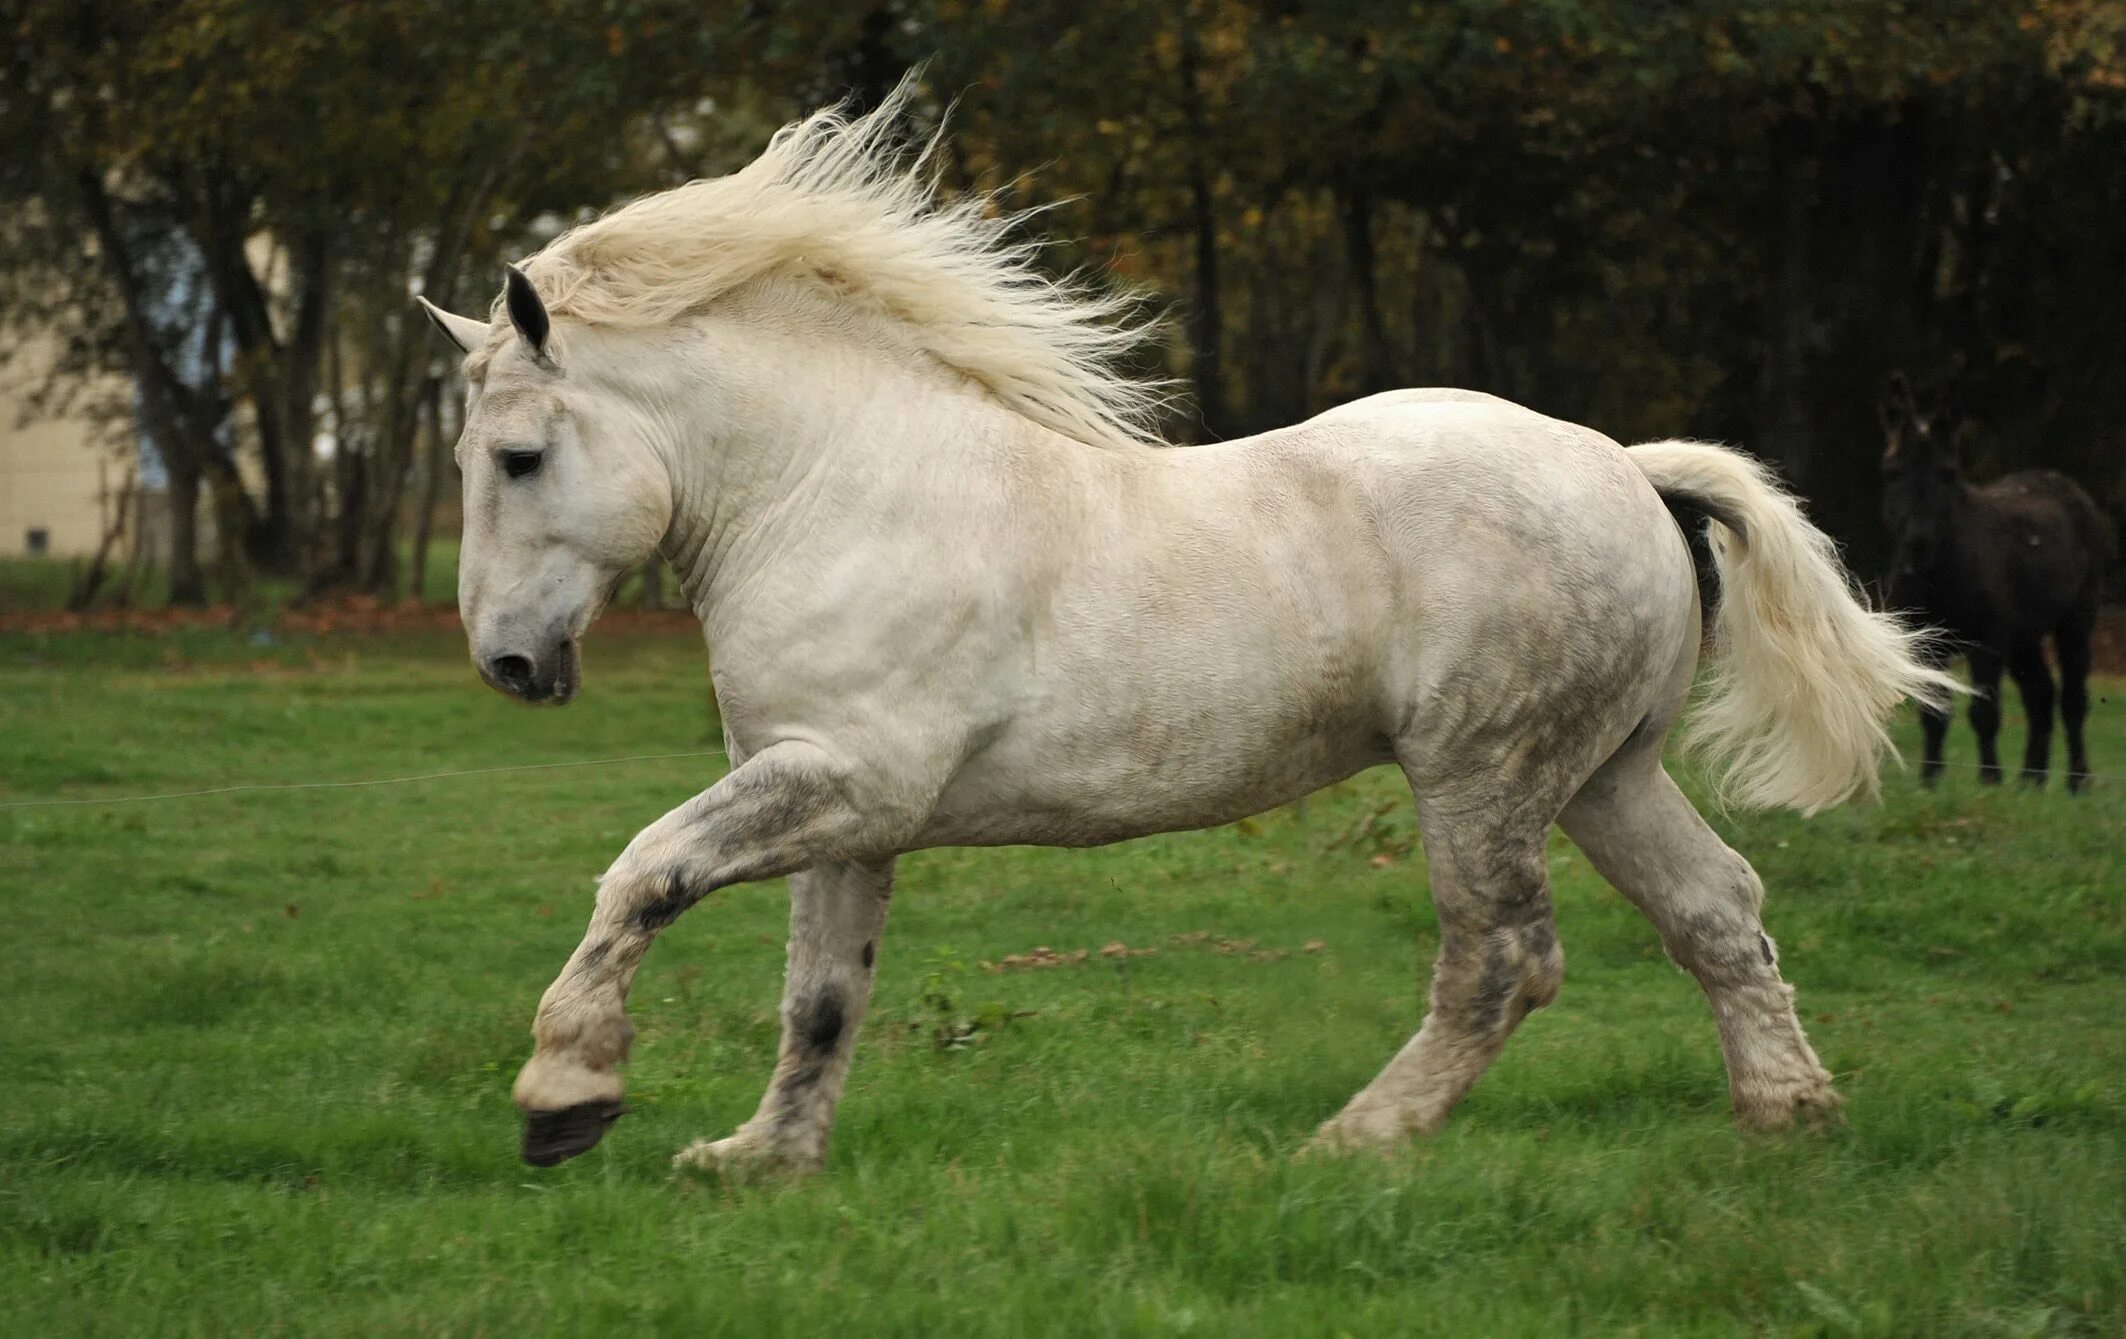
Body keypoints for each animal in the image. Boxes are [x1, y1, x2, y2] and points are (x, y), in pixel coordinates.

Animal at [418, 86, 1955, 1173]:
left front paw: (565, 1096)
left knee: (1502, 961)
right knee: (1717, 913)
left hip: (1483, 778)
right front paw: (757, 1159)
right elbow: (820, 998)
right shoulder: (842, 809)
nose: (508, 664)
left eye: (515, 458)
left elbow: (645, 873)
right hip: (1603, 776)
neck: (840, 489)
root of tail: (1630, 470)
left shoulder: (847, 778)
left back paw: (1353, 1141)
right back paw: (1789, 1119)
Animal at [1887, 371, 2117, 790]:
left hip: (2075, 620)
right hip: (2024, 634)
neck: (1940, 577)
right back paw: (2031, 781)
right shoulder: (1926, 642)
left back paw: (2076, 781)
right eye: (1892, 472)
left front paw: (1989, 780)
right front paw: (1930, 782)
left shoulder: (1989, 639)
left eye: (1948, 474)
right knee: (2041, 694)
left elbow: (1984, 712)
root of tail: (2063, 482)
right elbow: (1934, 712)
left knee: (2073, 699)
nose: (1918, 546)